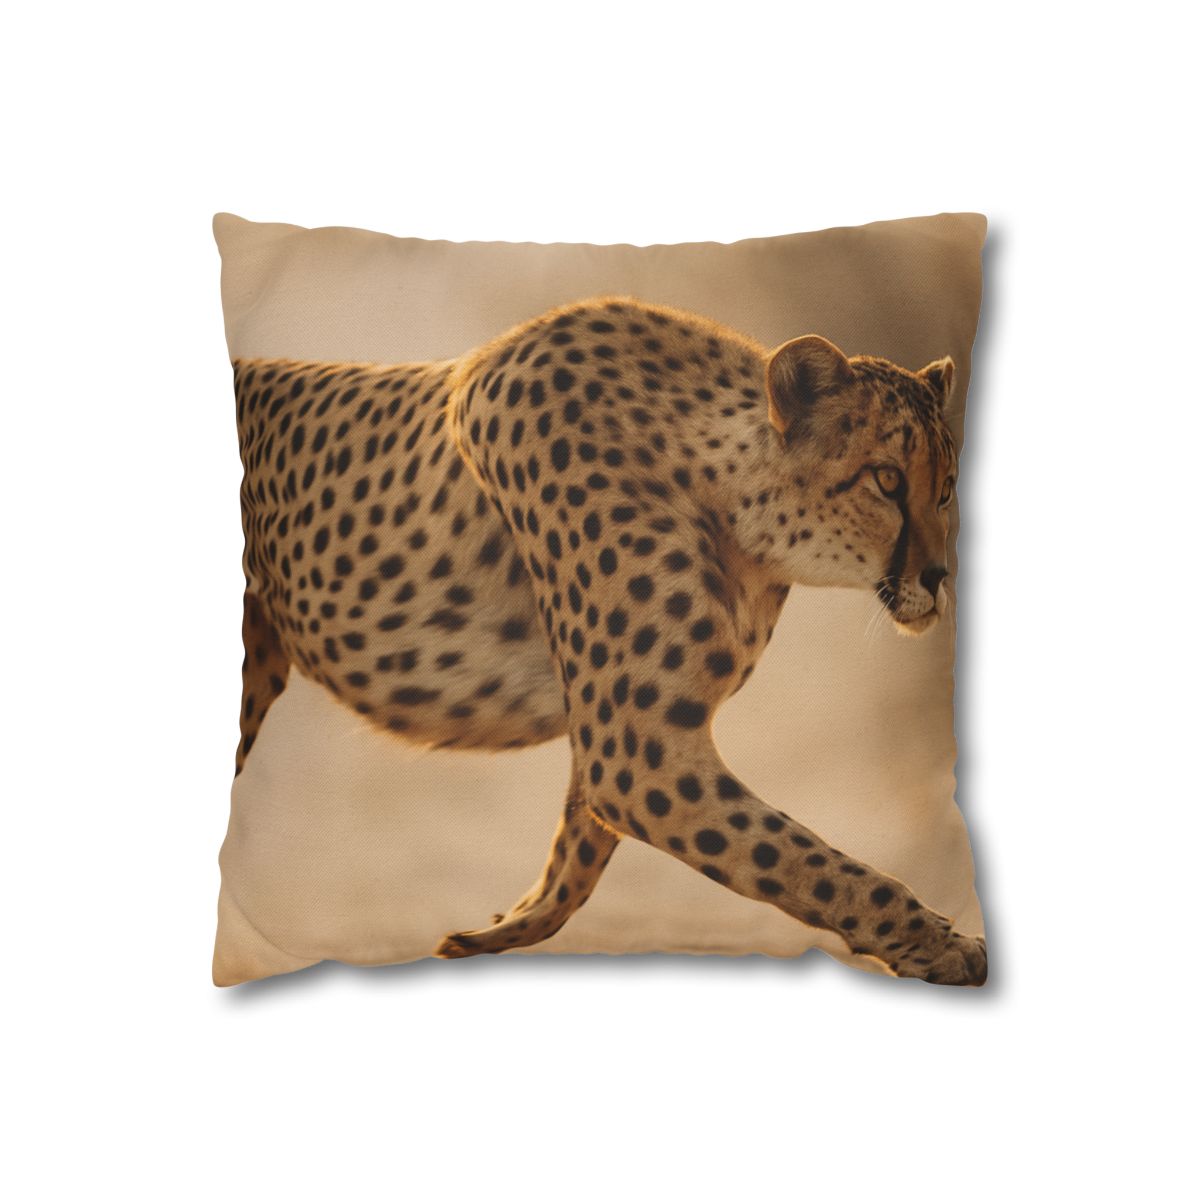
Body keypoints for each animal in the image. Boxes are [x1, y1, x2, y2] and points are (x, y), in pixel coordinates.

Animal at [232, 296, 986, 986]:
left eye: (947, 489)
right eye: (886, 479)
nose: (939, 577)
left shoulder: (619, 735)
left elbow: (578, 853)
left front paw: (491, 932)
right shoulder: (635, 752)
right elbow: (804, 861)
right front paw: (942, 944)